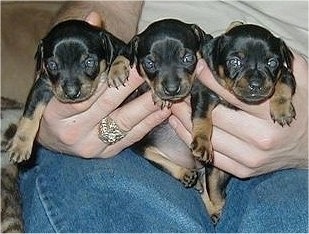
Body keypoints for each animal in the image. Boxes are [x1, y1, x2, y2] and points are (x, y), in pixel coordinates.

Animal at [7, 19, 129, 163]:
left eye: (89, 62)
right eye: (52, 65)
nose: (72, 93)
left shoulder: (122, 46)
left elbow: (124, 53)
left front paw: (117, 71)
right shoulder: (42, 86)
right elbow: (30, 115)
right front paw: (19, 146)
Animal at [190, 22, 296, 222]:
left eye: (272, 63)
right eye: (234, 62)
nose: (255, 84)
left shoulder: (286, 73)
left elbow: (282, 85)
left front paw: (282, 110)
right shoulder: (204, 91)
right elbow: (202, 118)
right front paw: (202, 143)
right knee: (213, 188)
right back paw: (216, 209)